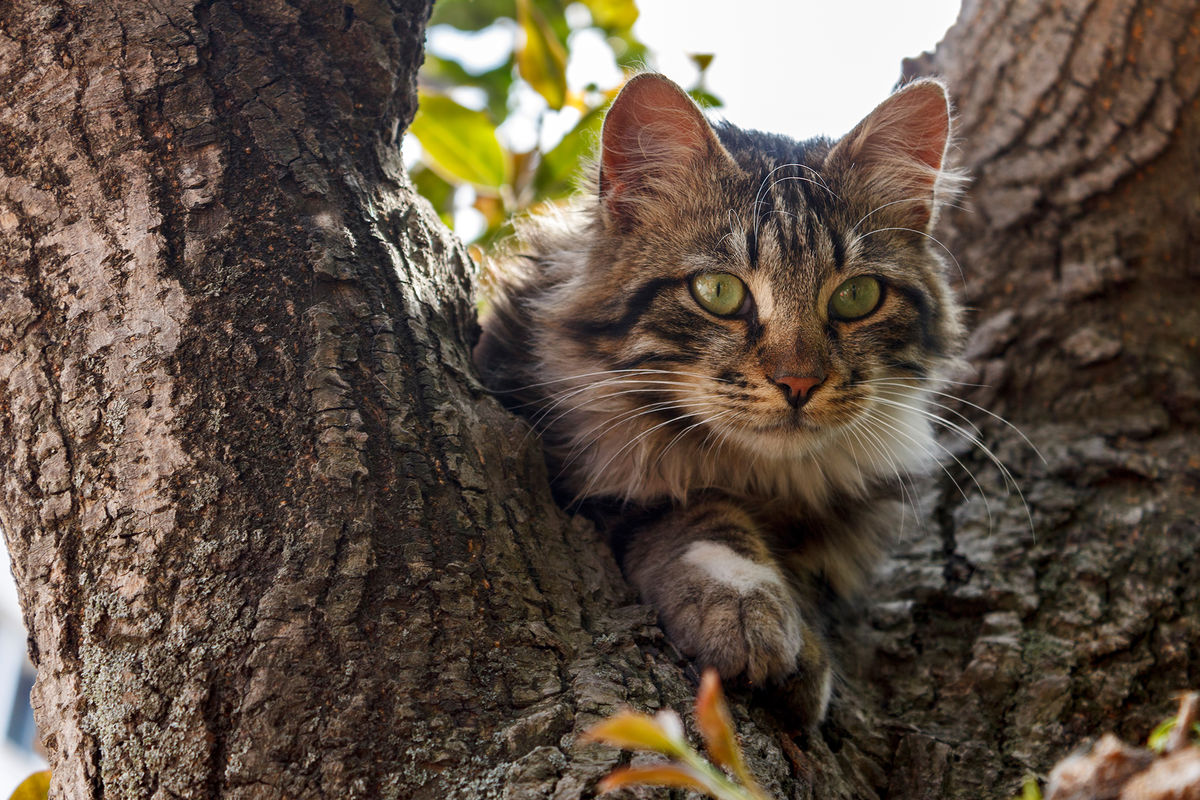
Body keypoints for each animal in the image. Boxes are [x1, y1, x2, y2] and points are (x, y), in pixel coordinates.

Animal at [470, 73, 964, 724]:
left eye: (857, 296)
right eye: (719, 292)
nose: (798, 383)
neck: (762, 479)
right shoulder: (588, 477)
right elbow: (698, 514)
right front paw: (748, 610)